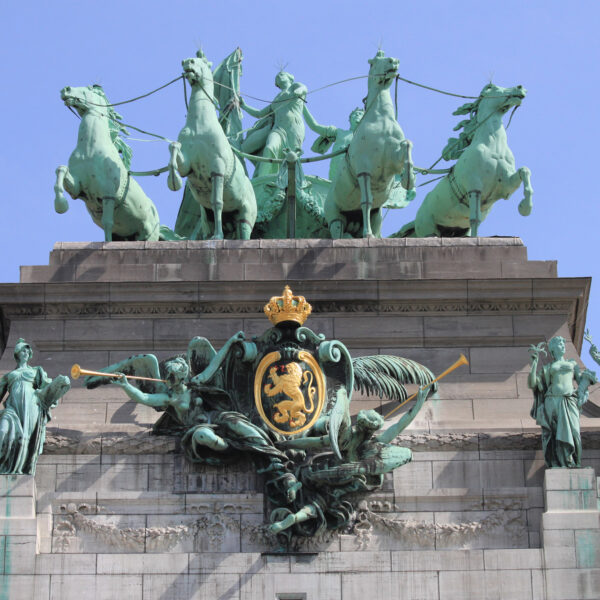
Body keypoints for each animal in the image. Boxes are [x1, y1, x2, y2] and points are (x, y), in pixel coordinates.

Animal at [166, 51, 255, 239]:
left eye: (203, 62)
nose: (188, 62)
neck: (199, 125)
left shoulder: (217, 168)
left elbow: (217, 203)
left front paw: (218, 237)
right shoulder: (187, 165)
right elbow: (173, 147)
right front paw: (174, 180)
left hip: (246, 216)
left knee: (244, 231)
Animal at [324, 49, 412, 238]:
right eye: (373, 62)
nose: (394, 61)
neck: (381, 119)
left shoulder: (392, 159)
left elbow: (407, 145)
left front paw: (409, 180)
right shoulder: (364, 170)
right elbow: (366, 201)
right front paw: (367, 234)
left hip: (377, 216)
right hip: (335, 218)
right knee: (338, 231)